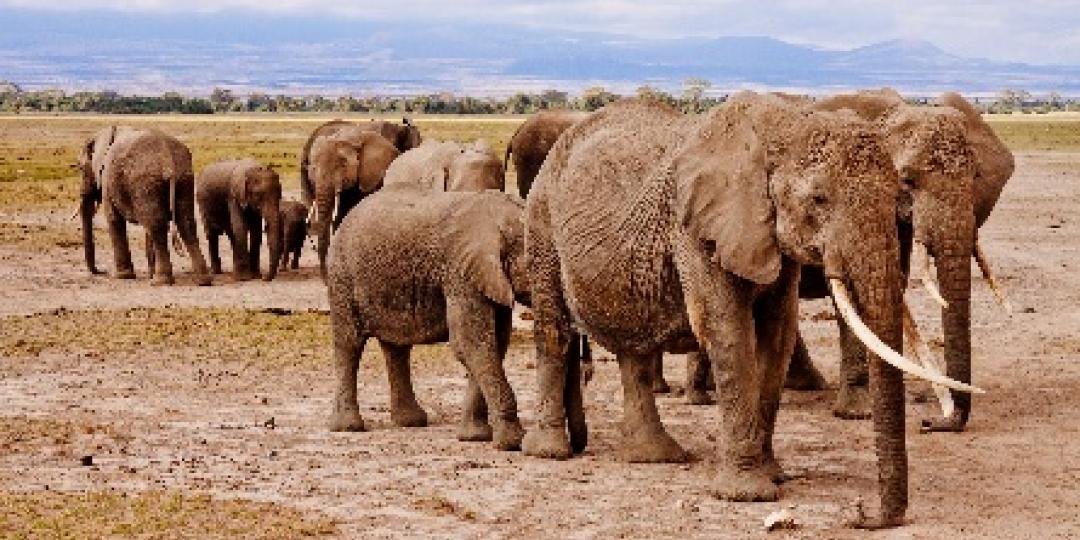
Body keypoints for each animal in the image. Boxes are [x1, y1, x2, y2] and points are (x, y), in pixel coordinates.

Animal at [77, 126, 210, 287]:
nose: (100, 271)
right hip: (184, 179)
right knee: (186, 223)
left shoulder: (108, 180)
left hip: (146, 182)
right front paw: (149, 273)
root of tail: (168, 160)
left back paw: (160, 281)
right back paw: (202, 280)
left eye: (81, 168)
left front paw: (122, 276)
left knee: (157, 226)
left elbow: (114, 219)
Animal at [328, 183, 531, 449]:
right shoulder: (460, 273)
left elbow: (493, 344)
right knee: (349, 343)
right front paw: (512, 443)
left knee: (396, 348)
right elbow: (471, 344)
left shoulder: (487, 278)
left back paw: (410, 422)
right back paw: (348, 427)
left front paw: (474, 437)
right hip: (342, 276)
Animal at [520, 93, 980, 527]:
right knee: (555, 332)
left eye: (898, 193)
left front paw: (773, 473)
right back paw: (550, 451)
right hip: (541, 222)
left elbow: (776, 336)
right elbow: (729, 332)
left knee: (634, 350)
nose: (863, 514)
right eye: (819, 198)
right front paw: (748, 493)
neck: (784, 126)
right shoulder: (697, 230)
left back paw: (652, 456)